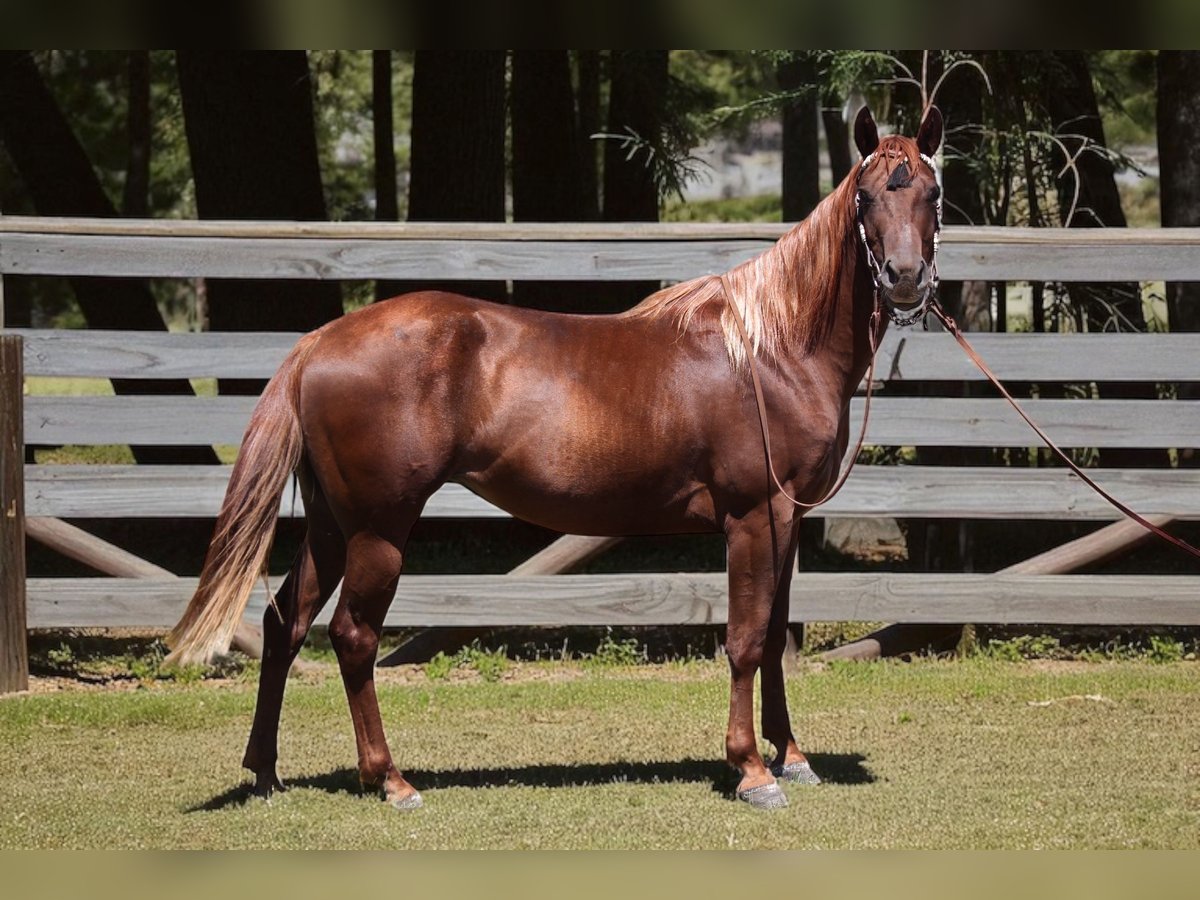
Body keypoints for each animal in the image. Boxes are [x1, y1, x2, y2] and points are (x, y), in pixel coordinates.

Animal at [166, 105, 945, 811]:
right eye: (866, 196)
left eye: (932, 193)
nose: (905, 277)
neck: (771, 348)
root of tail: (319, 342)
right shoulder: (755, 517)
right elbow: (749, 640)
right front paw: (752, 771)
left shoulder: (786, 519)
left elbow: (778, 634)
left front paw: (793, 758)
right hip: (378, 531)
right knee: (353, 637)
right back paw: (390, 780)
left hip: (332, 526)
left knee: (283, 625)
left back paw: (266, 774)